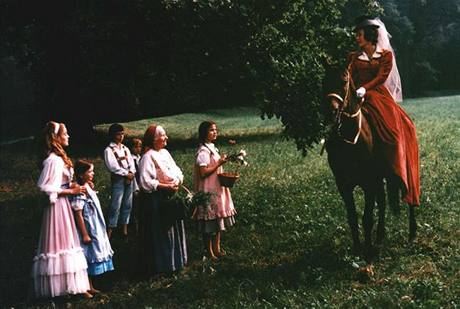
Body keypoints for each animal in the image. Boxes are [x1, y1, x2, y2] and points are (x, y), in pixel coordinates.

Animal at [324, 68, 416, 262]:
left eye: (344, 81)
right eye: (324, 80)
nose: (331, 112)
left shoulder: (368, 183)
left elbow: (367, 218)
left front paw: (367, 251)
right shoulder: (343, 185)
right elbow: (352, 217)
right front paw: (358, 249)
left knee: (409, 196)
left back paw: (412, 232)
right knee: (382, 202)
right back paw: (380, 237)